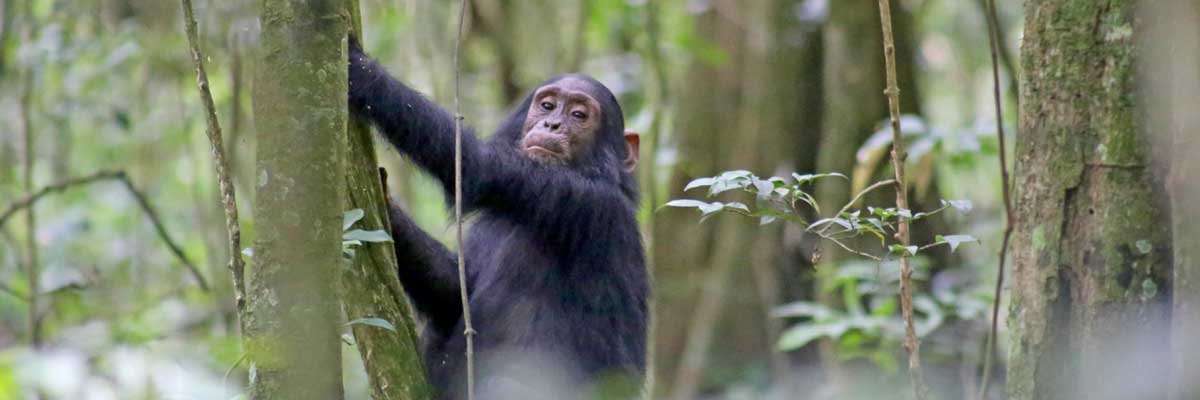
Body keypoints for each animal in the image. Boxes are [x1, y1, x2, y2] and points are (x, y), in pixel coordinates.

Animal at [348, 38, 648, 398]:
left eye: (578, 115)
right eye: (547, 105)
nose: (552, 125)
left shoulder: (581, 199)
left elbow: (476, 165)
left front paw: (362, 72)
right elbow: (454, 292)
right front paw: (387, 207)